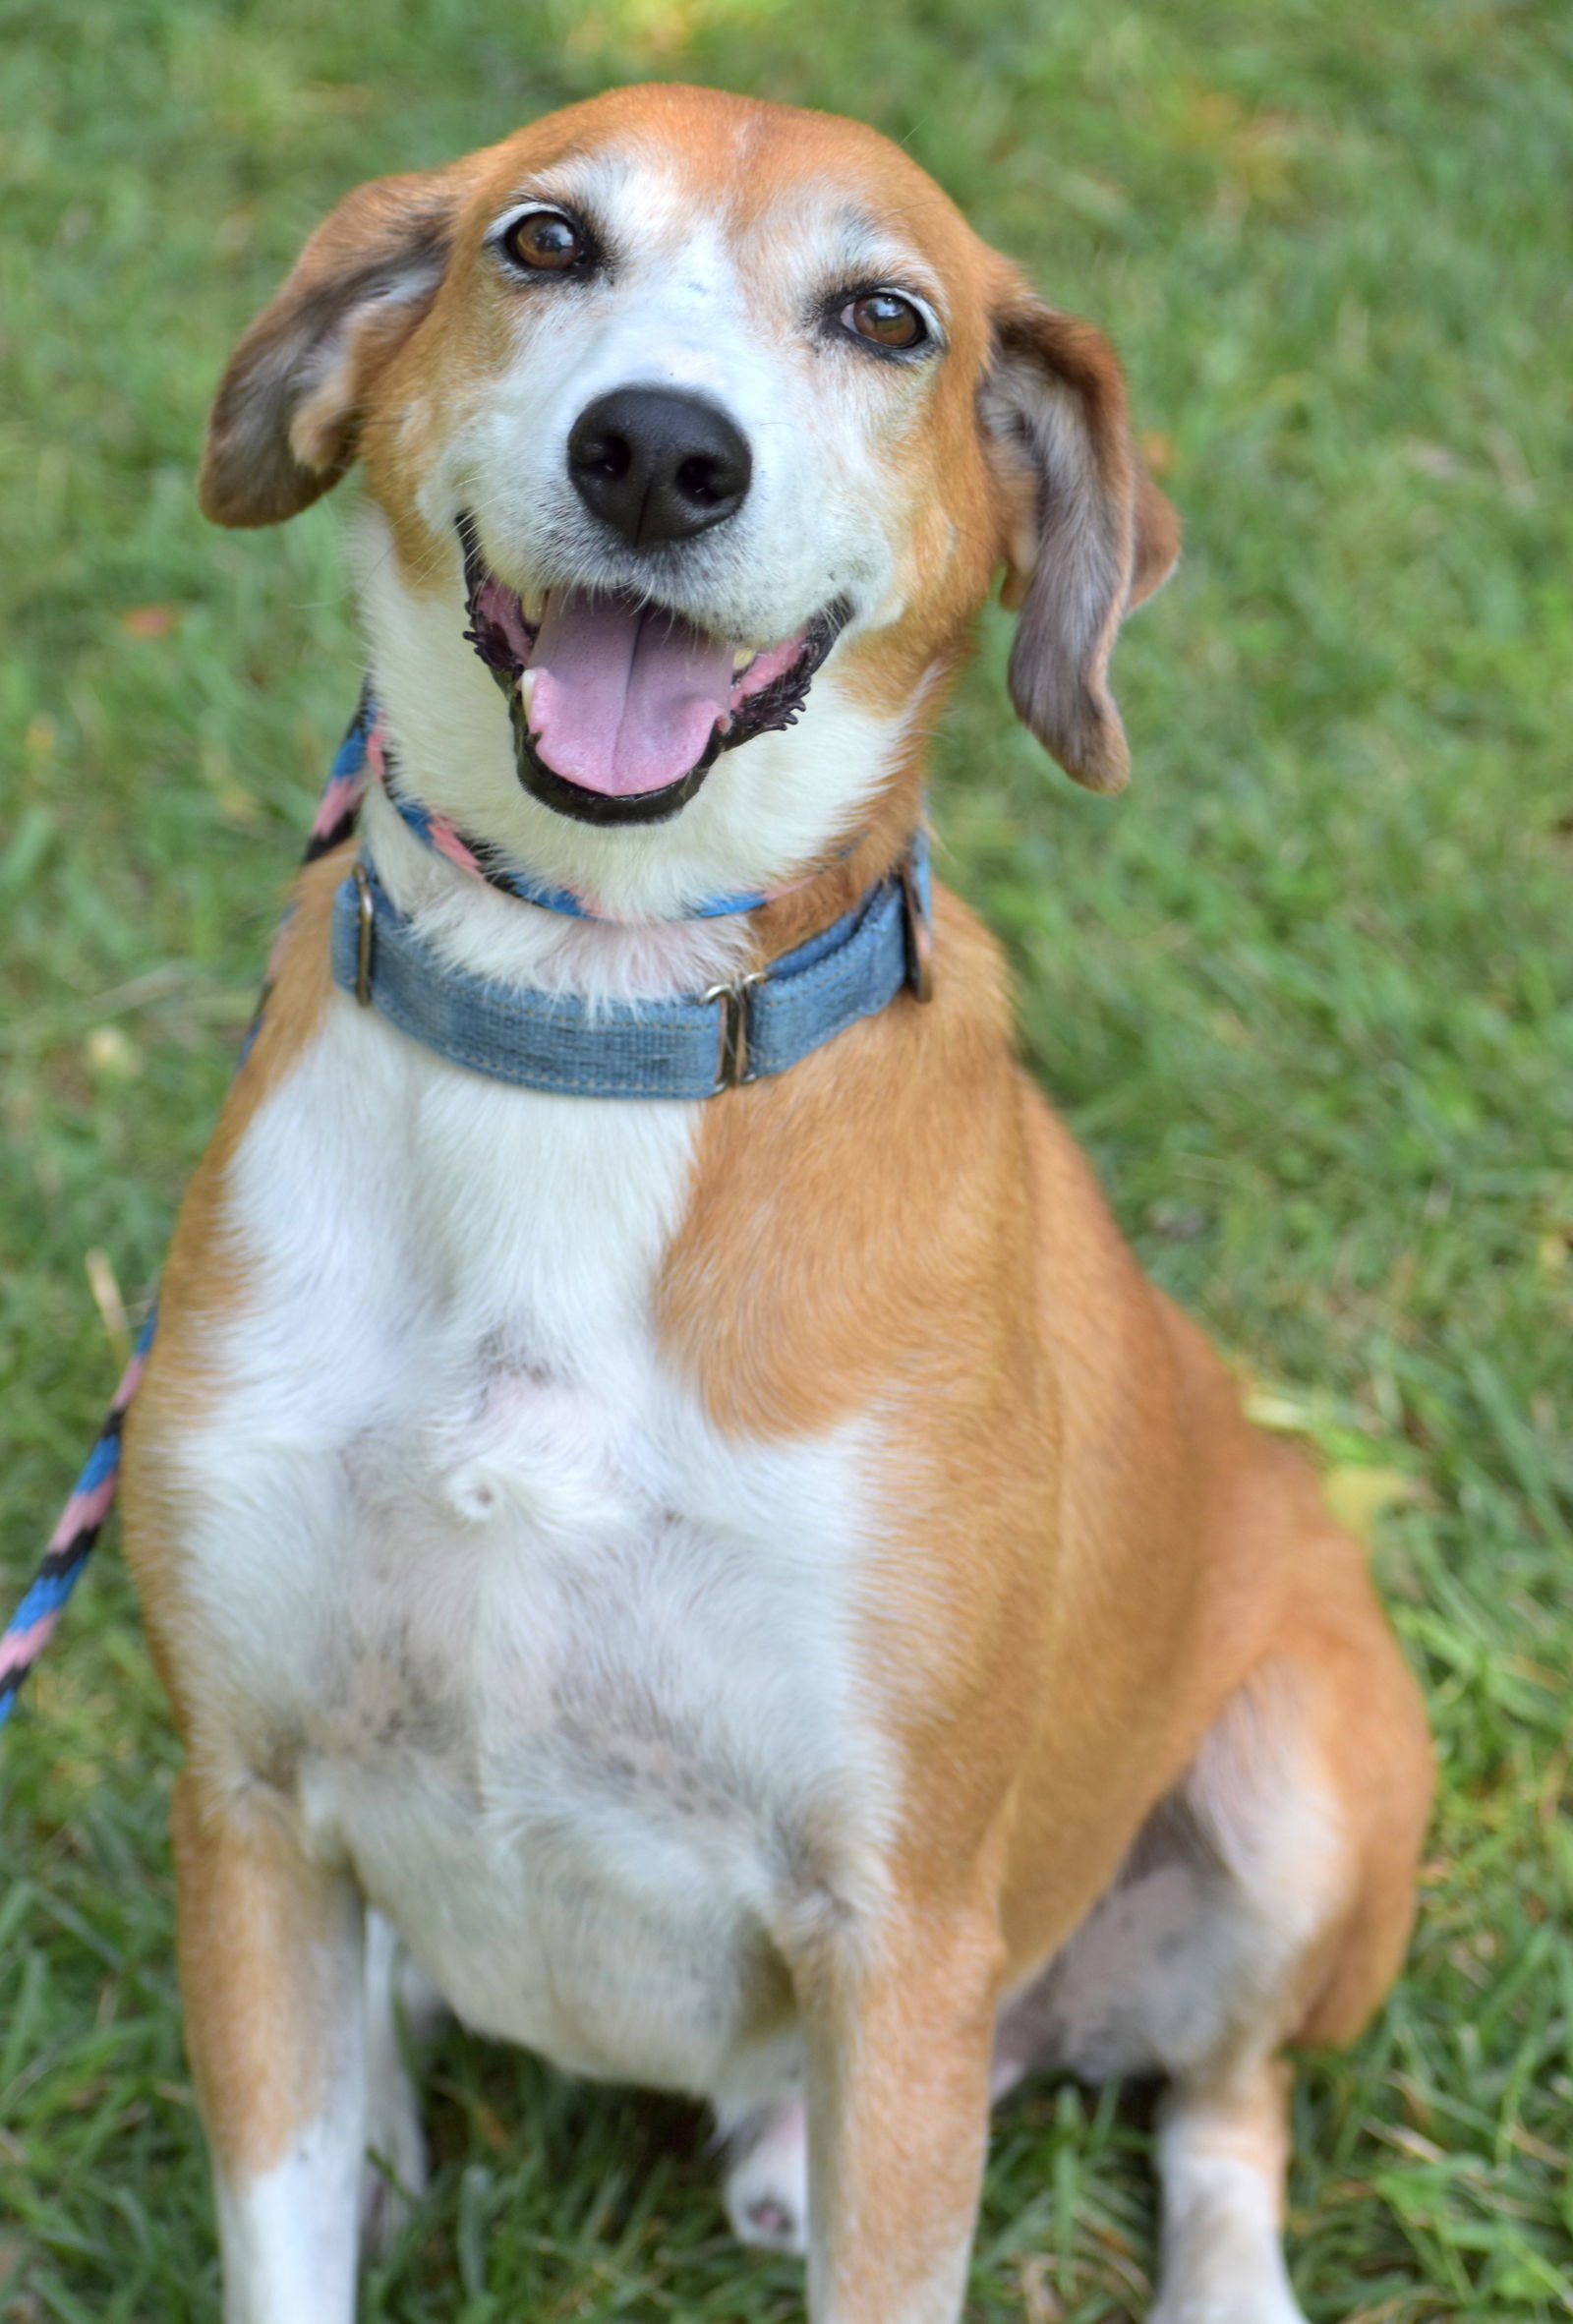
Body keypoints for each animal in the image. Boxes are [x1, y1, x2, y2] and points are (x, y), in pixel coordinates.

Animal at [116, 82, 1430, 2314]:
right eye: (544, 242)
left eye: (886, 317)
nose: (657, 451)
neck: (590, 1015)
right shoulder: (249, 1805)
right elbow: (277, 2223)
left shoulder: (899, 1929)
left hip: (1303, 1783)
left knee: (1222, 2103)